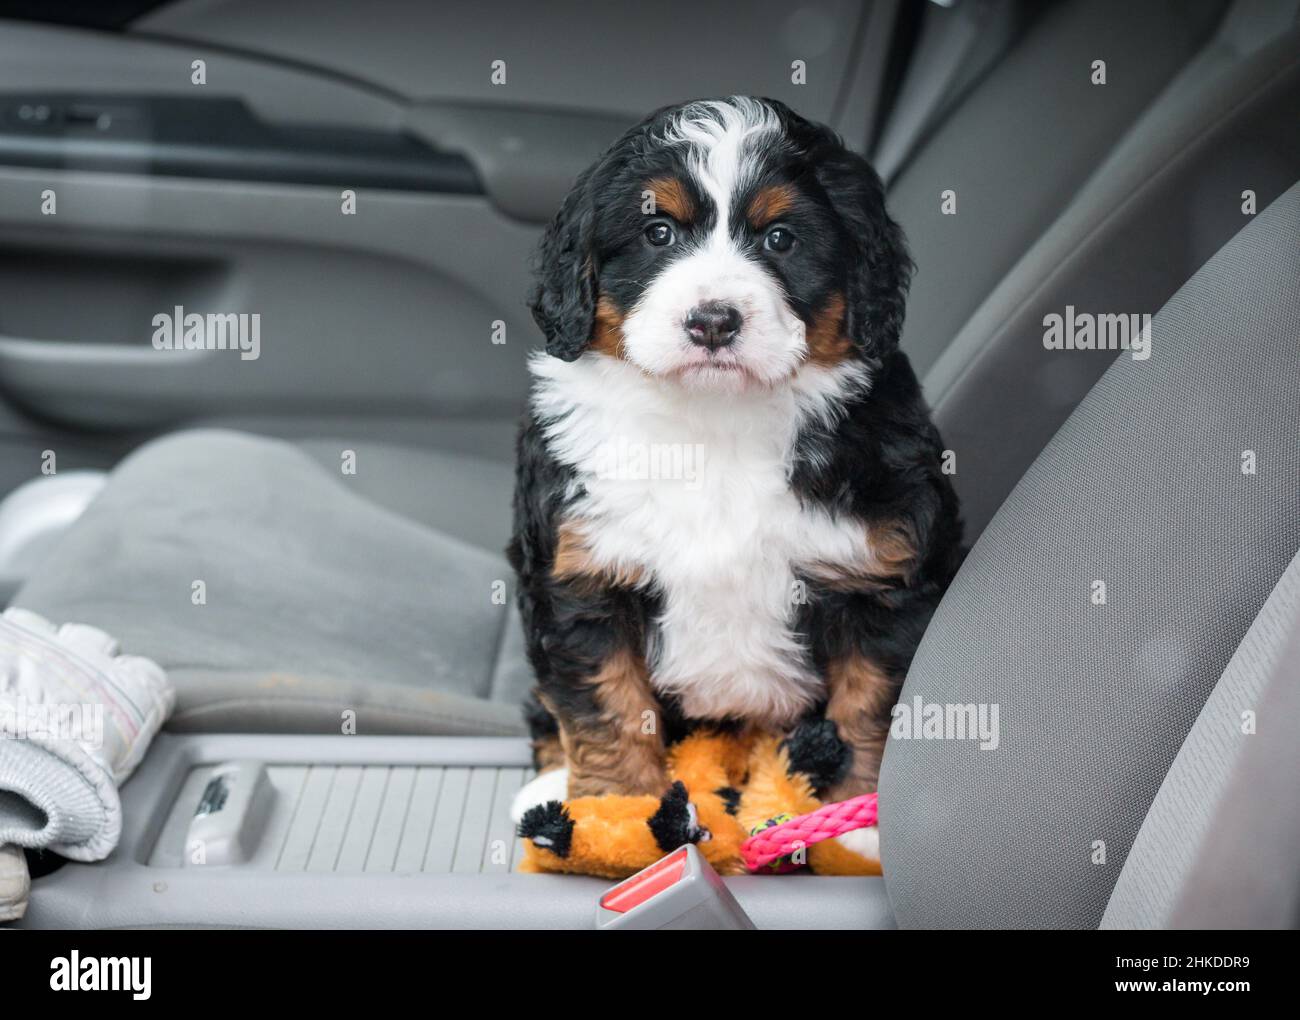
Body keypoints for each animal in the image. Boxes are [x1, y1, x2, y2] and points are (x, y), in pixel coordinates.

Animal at [506, 99, 967, 816]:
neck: (716, 421)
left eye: (780, 239)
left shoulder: (883, 582)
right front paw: (617, 812)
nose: (713, 321)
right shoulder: (581, 577)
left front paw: (849, 814)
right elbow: (608, 708)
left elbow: (867, 709)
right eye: (659, 232)